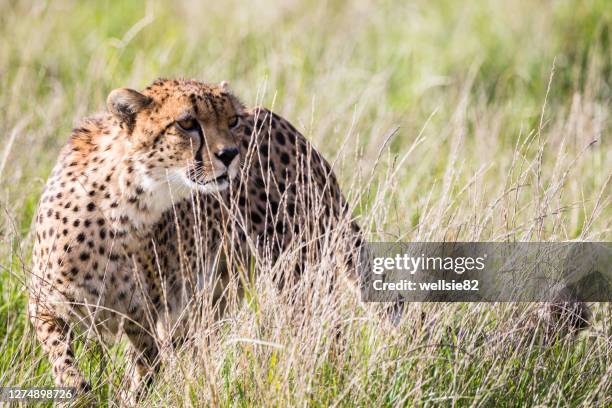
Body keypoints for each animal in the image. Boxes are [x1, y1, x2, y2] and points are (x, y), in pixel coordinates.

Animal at [28, 79, 360, 398]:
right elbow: (63, 359)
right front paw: (77, 389)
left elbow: (142, 374)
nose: (230, 154)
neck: (123, 206)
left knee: (326, 332)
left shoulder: (147, 321)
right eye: (187, 123)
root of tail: (286, 125)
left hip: (298, 279)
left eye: (233, 120)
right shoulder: (44, 304)